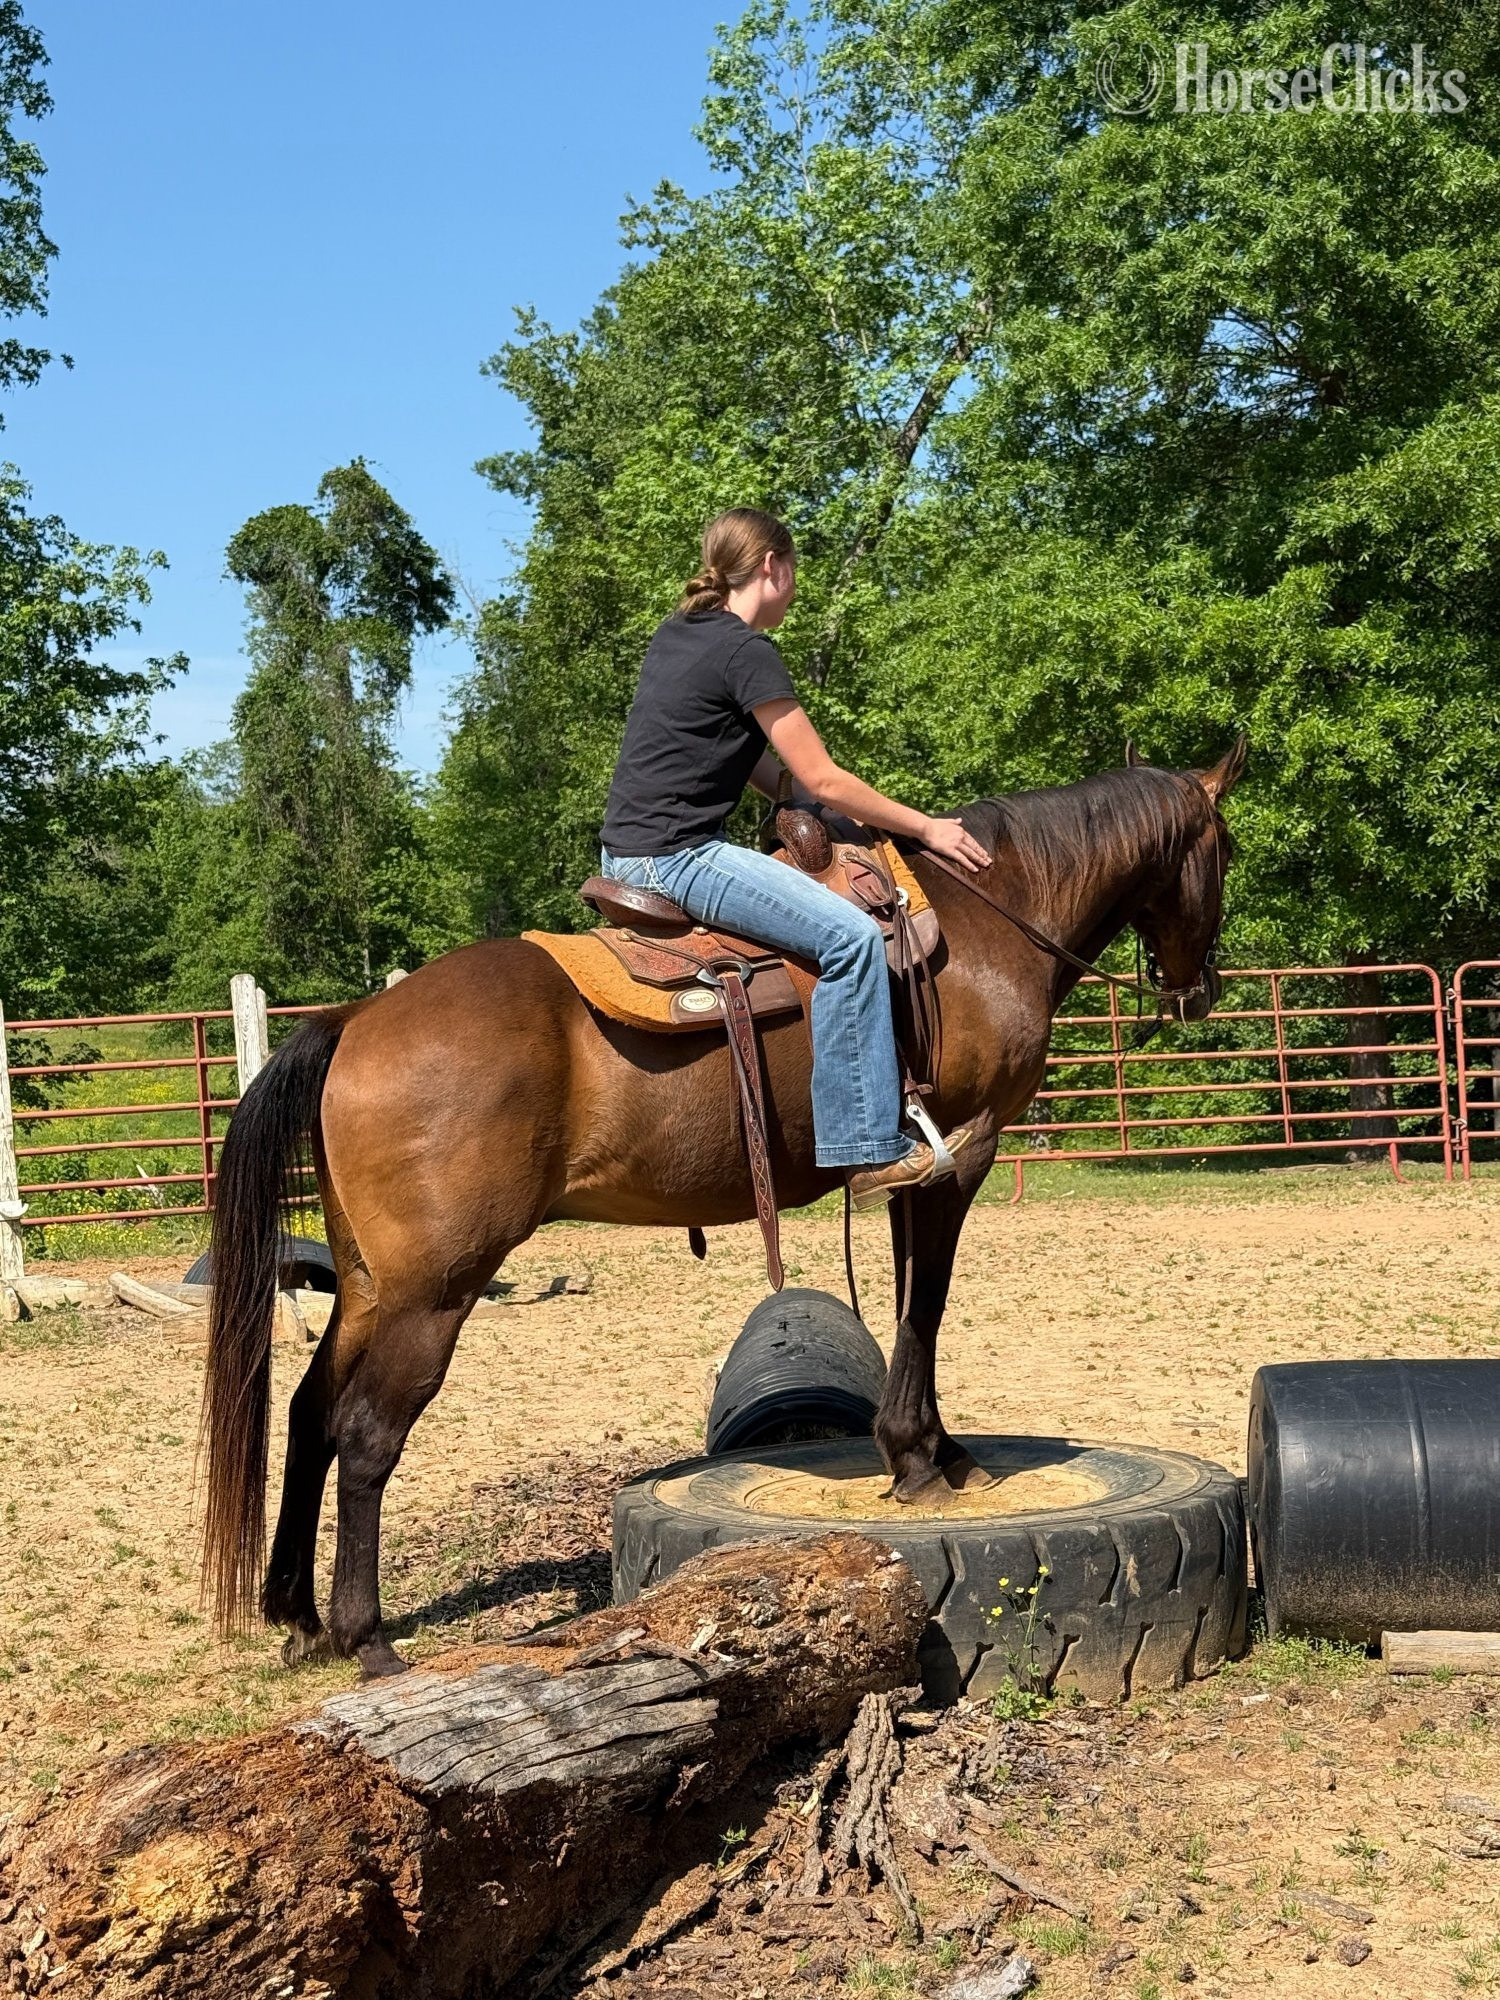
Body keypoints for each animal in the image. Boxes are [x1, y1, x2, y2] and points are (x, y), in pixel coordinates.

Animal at [202, 740, 1245, 1677]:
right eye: (1225, 848)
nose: (1199, 989)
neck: (985, 925)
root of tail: (352, 1022)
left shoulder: (915, 1174)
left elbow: (913, 1301)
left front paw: (940, 1451)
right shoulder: (955, 1160)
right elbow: (927, 1303)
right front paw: (916, 1458)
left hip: (369, 1285)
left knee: (307, 1412)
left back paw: (296, 1614)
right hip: (434, 1292)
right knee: (367, 1433)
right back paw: (366, 1637)